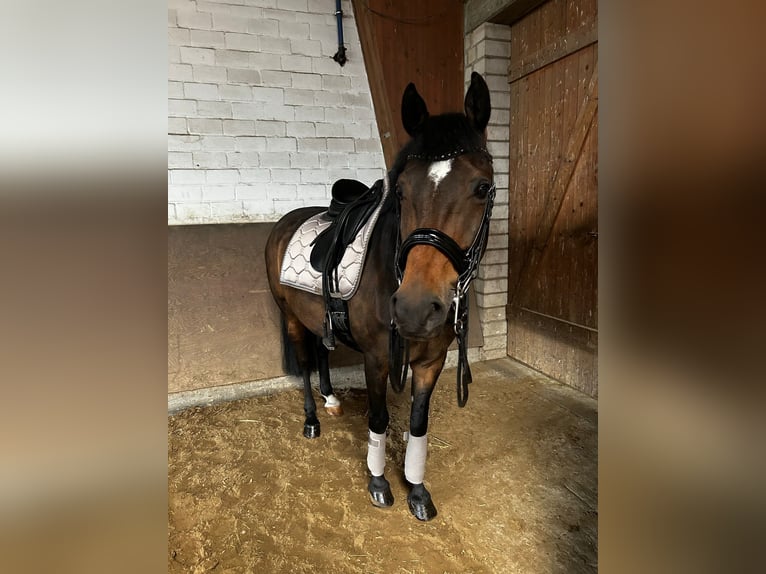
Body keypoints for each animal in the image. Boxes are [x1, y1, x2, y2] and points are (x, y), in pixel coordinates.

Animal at [268, 72, 496, 520]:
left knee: (322, 354)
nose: (414, 309)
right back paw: (311, 421)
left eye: (482, 187)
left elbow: (418, 425)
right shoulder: (376, 358)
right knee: (304, 364)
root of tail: (285, 223)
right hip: (290, 317)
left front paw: (417, 491)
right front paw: (378, 483)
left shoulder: (430, 361)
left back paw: (332, 400)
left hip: (318, 319)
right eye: (402, 191)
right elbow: (378, 418)